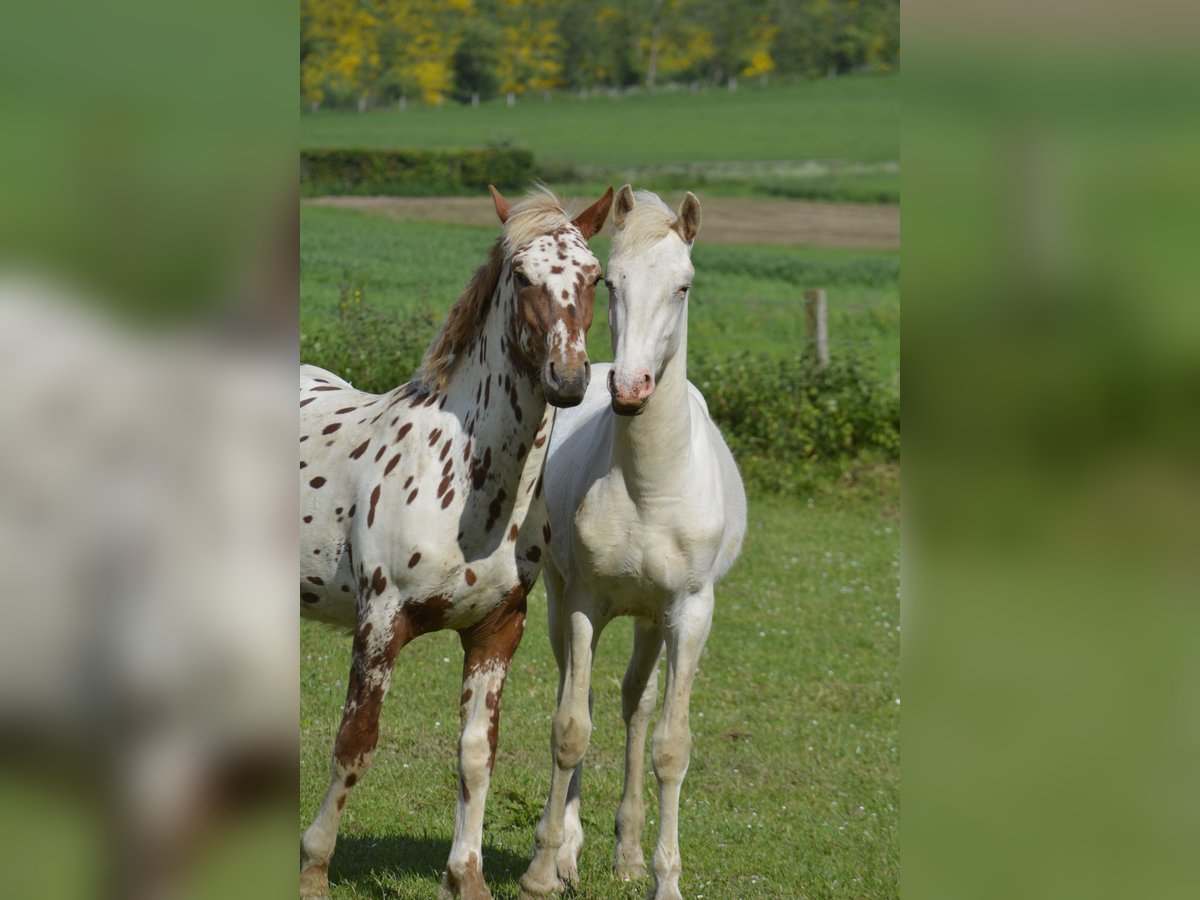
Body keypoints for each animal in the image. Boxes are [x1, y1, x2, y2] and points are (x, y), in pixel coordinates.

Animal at [296, 187, 614, 897]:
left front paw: (465, 877)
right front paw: (313, 867)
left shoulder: (497, 630)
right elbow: (354, 743)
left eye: (596, 277)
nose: (569, 379)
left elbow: (475, 754)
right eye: (520, 276)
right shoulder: (381, 624)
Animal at [520, 187, 744, 897]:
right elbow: (569, 728)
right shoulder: (585, 602)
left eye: (684, 284)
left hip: (652, 620)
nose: (630, 387)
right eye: (609, 283)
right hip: (562, 601)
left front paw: (663, 877)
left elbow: (671, 745)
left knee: (635, 706)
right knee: (582, 693)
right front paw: (543, 868)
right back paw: (570, 848)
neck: (651, 487)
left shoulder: (691, 613)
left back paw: (628, 853)